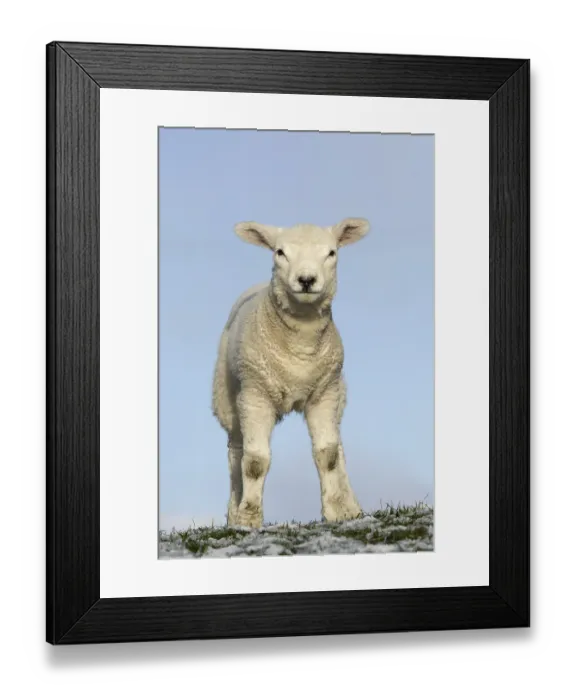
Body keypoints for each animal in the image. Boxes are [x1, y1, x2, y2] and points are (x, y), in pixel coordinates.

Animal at [211, 218, 370, 529]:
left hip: (338, 392)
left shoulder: (324, 393)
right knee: (235, 452)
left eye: (331, 253)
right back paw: (234, 513)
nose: (306, 280)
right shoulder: (255, 395)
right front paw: (249, 517)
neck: (301, 347)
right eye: (280, 252)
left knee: (340, 447)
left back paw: (351, 506)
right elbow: (255, 461)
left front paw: (335, 511)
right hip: (229, 400)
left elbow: (328, 454)